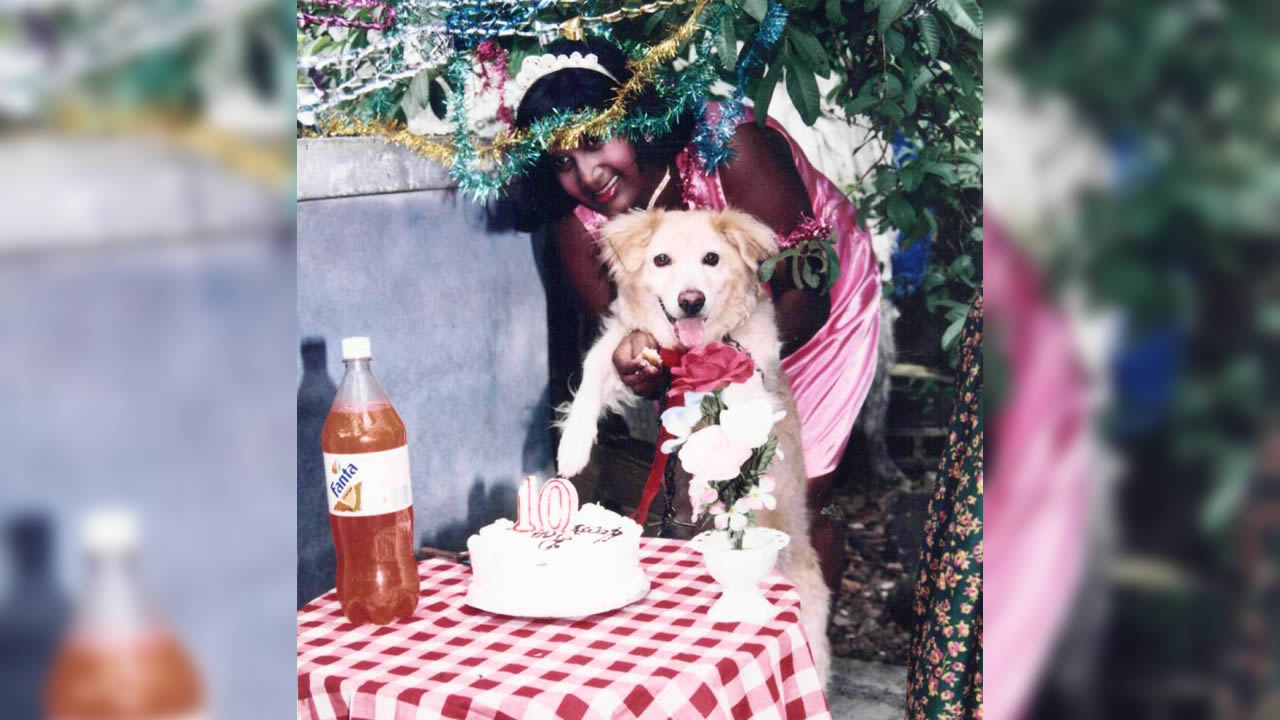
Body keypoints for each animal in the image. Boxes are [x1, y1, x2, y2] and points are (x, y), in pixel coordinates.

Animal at [555, 204, 834, 681]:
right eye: (661, 260)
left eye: (711, 259)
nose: (691, 300)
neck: (690, 352)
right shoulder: (626, 346)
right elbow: (592, 374)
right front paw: (572, 446)